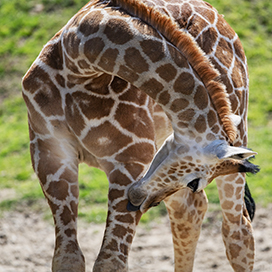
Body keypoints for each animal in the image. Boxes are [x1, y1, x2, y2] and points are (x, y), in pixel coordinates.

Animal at [21, 0, 260, 272]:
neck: (79, 61)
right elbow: (67, 258)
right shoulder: (50, 153)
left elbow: (110, 261)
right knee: (191, 210)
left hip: (238, 131)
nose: (137, 200)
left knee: (237, 230)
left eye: (194, 181)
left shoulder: (130, 159)